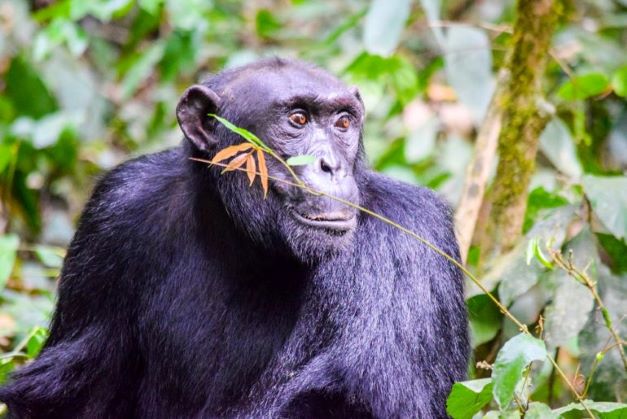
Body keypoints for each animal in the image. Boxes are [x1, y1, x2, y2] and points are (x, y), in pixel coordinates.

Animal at [0, 59, 468, 419]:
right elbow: (70, 392)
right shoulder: (114, 213)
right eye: (297, 120)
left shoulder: (405, 245)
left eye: (343, 123)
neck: (246, 244)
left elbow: (350, 401)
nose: (330, 164)